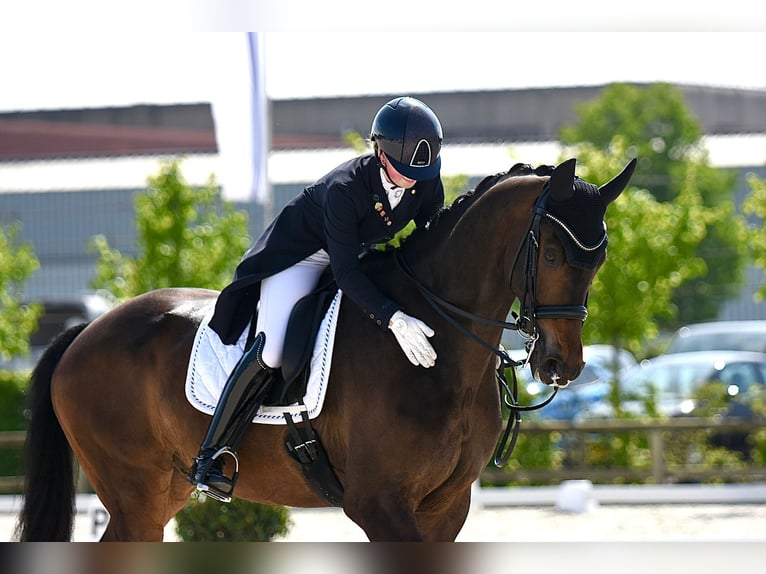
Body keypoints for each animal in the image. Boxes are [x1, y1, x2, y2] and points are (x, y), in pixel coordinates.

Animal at [15, 158, 640, 544]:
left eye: (601, 259)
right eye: (553, 254)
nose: (559, 365)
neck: (447, 357)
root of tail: (85, 332)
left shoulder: (446, 506)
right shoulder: (379, 504)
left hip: (162, 490)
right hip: (136, 493)